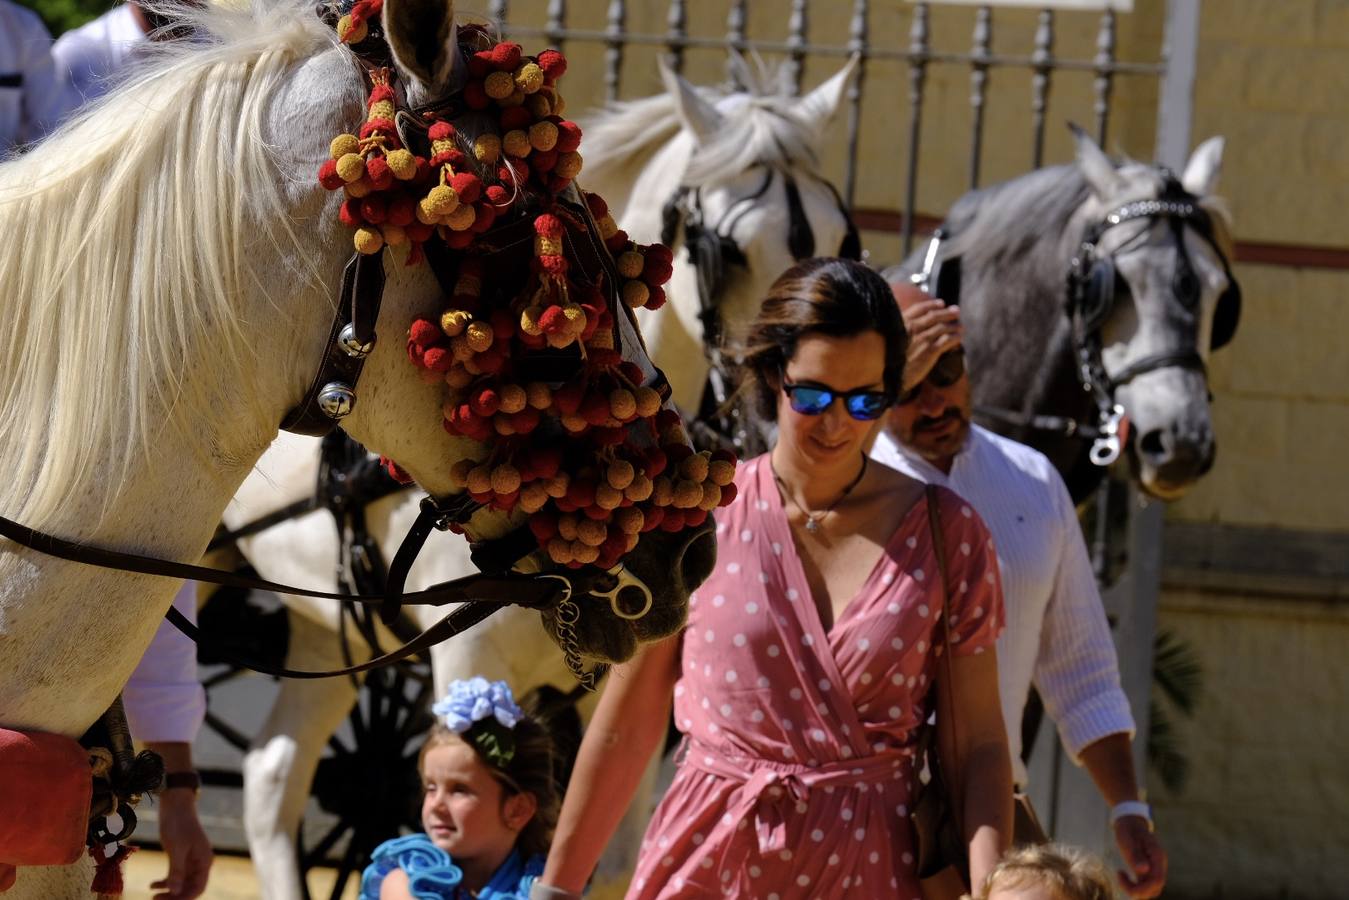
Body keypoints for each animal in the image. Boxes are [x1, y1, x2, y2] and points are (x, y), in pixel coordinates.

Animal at [227, 56, 863, 900]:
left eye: (836, 234)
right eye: (725, 248)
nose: (780, 413)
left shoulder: (619, 686)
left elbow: (601, 855)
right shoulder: (466, 665)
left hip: (328, 627)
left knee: (272, 777)